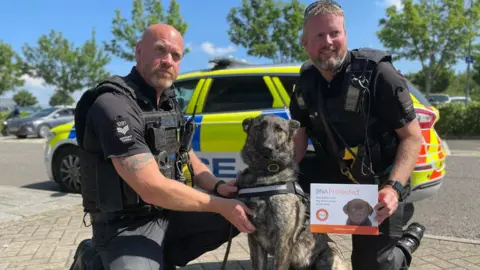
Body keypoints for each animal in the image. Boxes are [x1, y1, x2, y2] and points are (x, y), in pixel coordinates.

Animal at [236, 114, 348, 270]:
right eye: (259, 127)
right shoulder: (254, 239)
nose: (267, 148)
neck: (265, 175)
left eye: (279, 129)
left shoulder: (283, 241)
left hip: (329, 255)